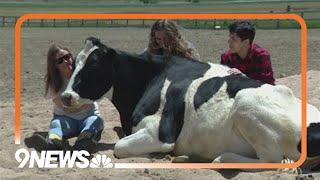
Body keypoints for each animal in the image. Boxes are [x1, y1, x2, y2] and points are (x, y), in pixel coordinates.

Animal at [60, 37, 320, 167]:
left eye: (93, 65)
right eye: (74, 62)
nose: (66, 96)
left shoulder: (160, 133)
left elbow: (119, 147)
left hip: (246, 104)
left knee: (271, 160)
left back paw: (219, 158)